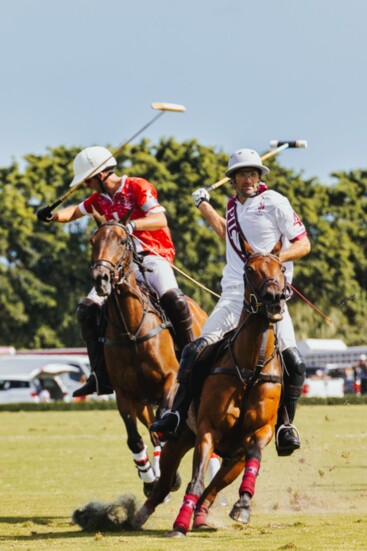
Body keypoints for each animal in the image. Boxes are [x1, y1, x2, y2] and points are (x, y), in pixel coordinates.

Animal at [90, 218, 208, 498]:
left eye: (123, 240)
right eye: (92, 241)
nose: (101, 278)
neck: (131, 330)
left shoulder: (170, 381)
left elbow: (164, 425)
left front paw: (169, 476)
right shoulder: (124, 393)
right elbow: (135, 438)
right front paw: (149, 478)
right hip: (143, 400)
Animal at [134, 240, 288, 536]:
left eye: (282, 268)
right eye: (249, 270)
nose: (274, 298)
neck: (250, 368)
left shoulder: (259, 431)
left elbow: (254, 457)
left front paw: (242, 506)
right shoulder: (208, 430)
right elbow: (195, 480)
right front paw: (179, 525)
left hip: (233, 459)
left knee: (213, 488)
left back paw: (202, 515)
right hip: (179, 439)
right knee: (164, 485)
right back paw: (137, 516)